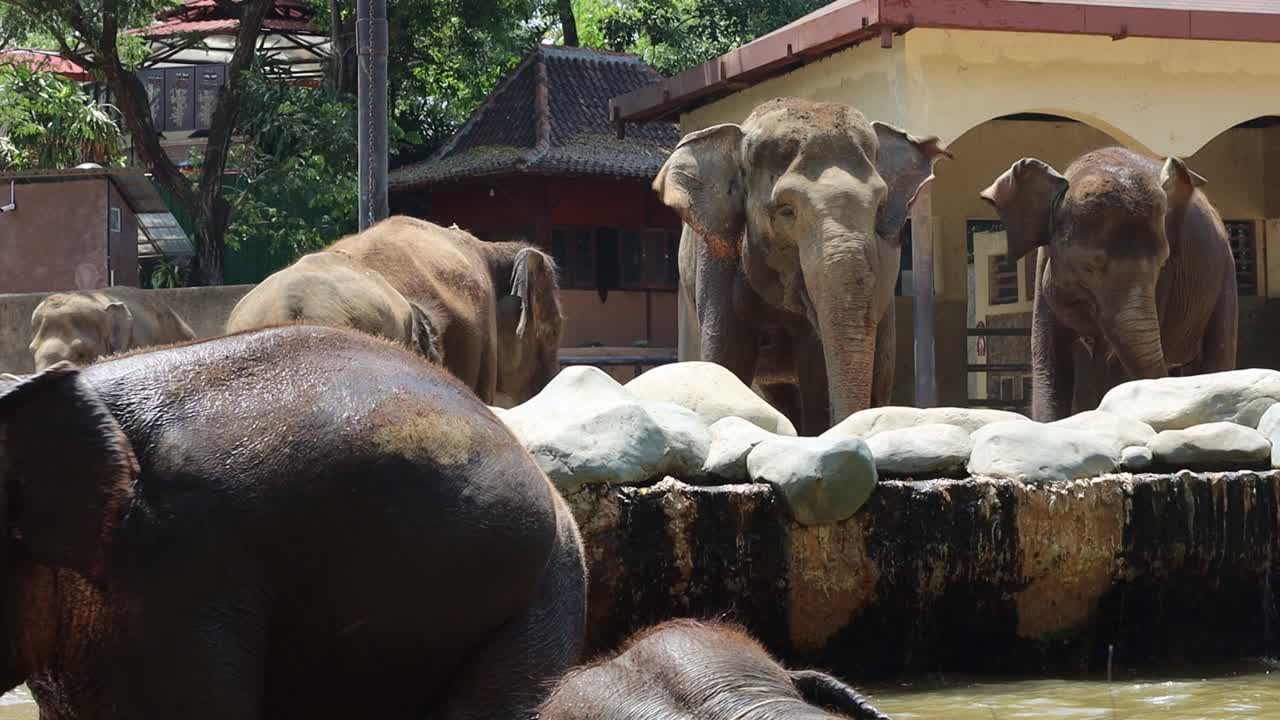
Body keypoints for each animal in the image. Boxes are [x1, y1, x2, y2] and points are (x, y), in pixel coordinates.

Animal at [980, 146, 1237, 421]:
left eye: (1162, 263)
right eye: (1087, 267)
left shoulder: (1164, 281)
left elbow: (1114, 363)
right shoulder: (1044, 266)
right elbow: (1049, 359)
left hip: (1225, 275)